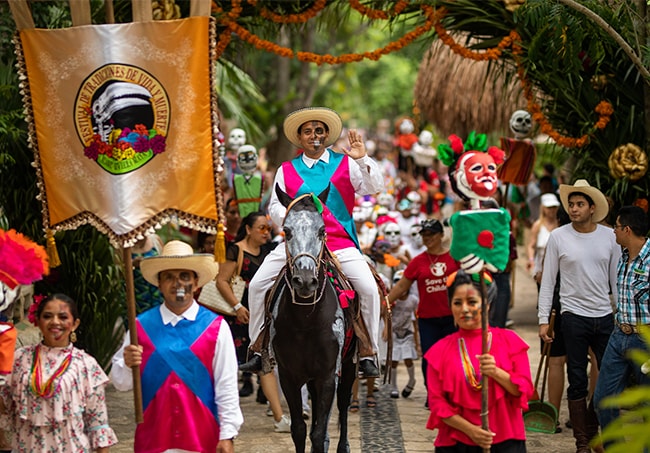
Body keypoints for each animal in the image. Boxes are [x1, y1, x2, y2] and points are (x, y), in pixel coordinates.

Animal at [270, 186, 356, 452]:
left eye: (322, 231)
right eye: (286, 231)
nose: (306, 281)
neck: (305, 320)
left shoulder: (328, 375)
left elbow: (318, 435)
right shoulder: (289, 375)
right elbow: (299, 430)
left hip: (349, 364)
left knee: (343, 403)